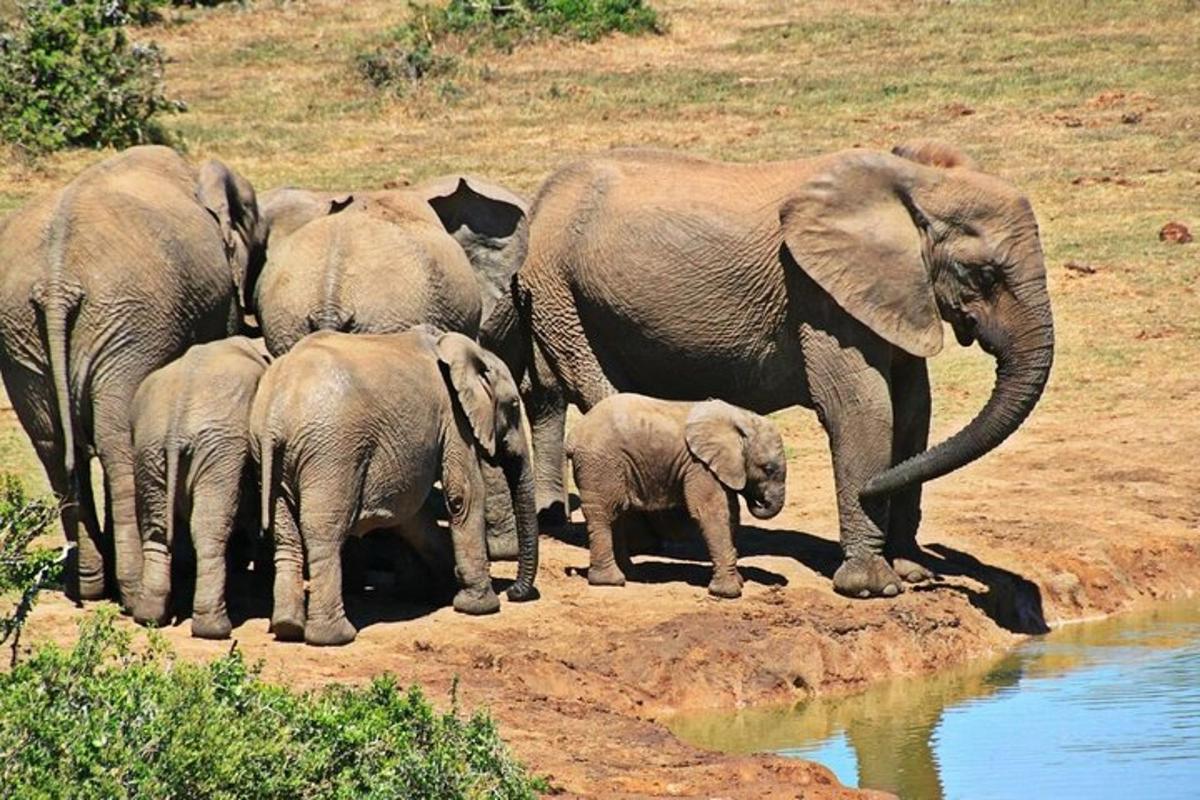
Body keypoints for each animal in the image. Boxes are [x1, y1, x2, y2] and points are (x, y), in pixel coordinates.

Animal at [0, 145, 262, 606]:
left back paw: (87, 586)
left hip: (24, 335)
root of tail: (56, 283)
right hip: (128, 325)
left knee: (54, 447)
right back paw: (133, 590)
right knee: (117, 443)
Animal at [132, 335, 271, 638]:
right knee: (209, 530)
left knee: (156, 529)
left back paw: (148, 617)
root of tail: (175, 428)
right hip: (219, 451)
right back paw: (215, 629)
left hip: (148, 449)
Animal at [250, 328, 537, 647]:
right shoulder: (454, 417)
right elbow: (464, 495)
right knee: (324, 534)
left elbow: (413, 515)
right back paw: (334, 637)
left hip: (272, 457)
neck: (464, 349)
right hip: (331, 453)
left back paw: (287, 627)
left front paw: (442, 590)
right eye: (514, 406)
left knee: (285, 535)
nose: (514, 592)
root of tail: (275, 416)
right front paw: (480, 606)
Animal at [564, 391, 787, 597]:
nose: (759, 501)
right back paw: (610, 581)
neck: (741, 418)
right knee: (603, 513)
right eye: (767, 469)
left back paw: (630, 574)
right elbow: (712, 512)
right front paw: (728, 593)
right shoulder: (699, 466)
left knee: (617, 512)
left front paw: (738, 582)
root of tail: (573, 436)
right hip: (600, 463)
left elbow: (732, 513)